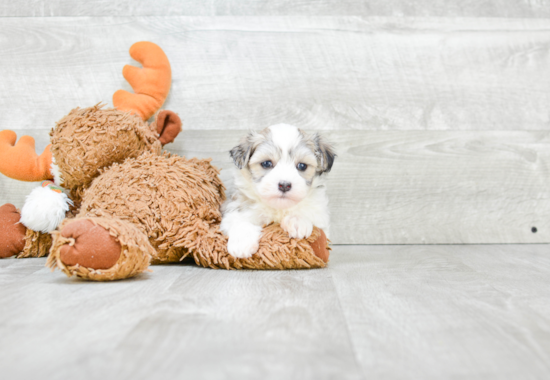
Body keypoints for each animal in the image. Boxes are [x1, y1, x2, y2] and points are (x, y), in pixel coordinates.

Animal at [220, 124, 336, 258]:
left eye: (302, 166)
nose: (284, 185)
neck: (279, 208)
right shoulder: (235, 207)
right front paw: (242, 243)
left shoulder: (321, 218)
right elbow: (238, 220)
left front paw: (297, 220)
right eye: (266, 163)